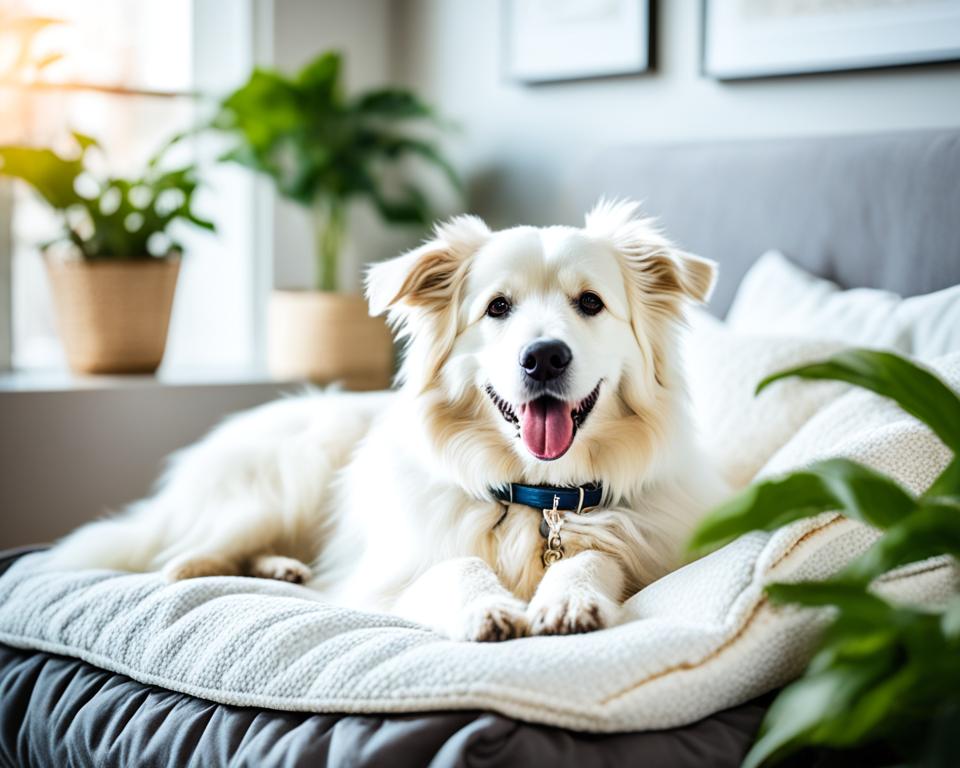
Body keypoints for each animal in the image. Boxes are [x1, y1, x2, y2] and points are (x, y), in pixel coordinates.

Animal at [50, 200, 728, 640]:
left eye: (590, 303)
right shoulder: (402, 561)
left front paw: (568, 598)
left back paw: (287, 569)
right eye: (497, 308)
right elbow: (454, 564)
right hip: (286, 475)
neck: (540, 497)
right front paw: (486, 609)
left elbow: (592, 560)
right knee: (181, 556)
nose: (543, 357)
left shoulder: (634, 550)